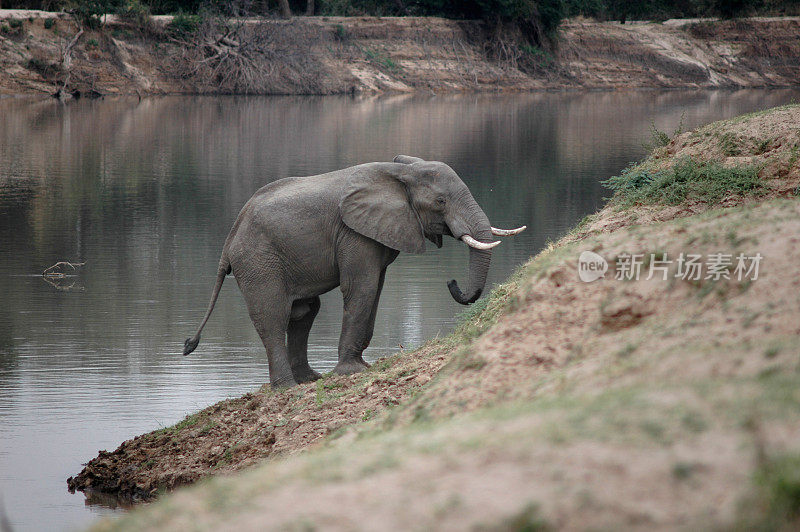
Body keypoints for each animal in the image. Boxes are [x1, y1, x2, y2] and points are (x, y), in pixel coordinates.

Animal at [184, 156, 528, 388]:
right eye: (441, 201)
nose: (452, 282)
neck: (400, 172)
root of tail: (230, 238)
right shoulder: (353, 233)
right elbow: (361, 288)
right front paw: (353, 372)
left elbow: (375, 289)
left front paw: (360, 364)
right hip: (257, 260)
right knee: (273, 315)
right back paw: (288, 387)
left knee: (304, 312)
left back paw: (310, 379)